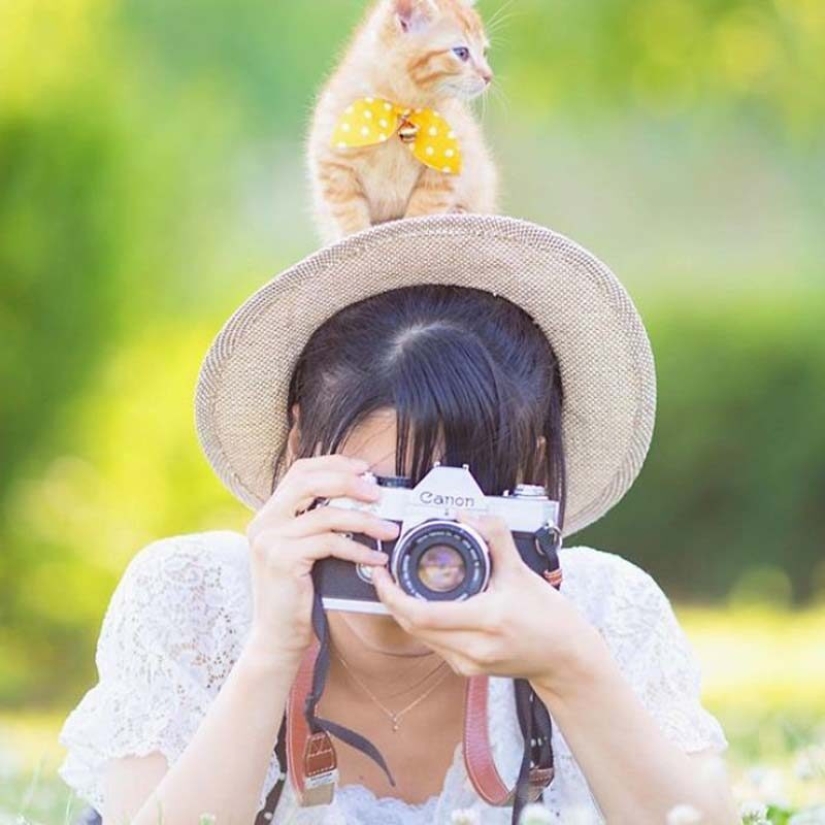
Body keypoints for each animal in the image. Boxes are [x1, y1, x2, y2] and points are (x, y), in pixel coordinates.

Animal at [302, 0, 496, 245]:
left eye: (485, 52)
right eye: (461, 52)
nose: (488, 76)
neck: (399, 109)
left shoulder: (447, 166)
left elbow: (423, 211)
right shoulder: (334, 166)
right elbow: (349, 217)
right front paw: (357, 238)